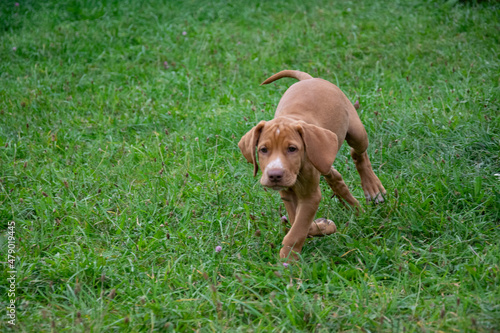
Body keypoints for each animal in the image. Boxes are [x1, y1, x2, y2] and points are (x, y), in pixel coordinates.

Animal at [238, 70, 386, 260]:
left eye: (292, 149)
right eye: (263, 150)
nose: (275, 175)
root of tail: (309, 79)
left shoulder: (310, 197)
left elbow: (298, 229)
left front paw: (288, 260)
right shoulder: (287, 193)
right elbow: (300, 224)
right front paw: (324, 225)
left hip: (356, 133)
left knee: (358, 154)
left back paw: (372, 188)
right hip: (324, 158)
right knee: (334, 176)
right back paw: (355, 208)